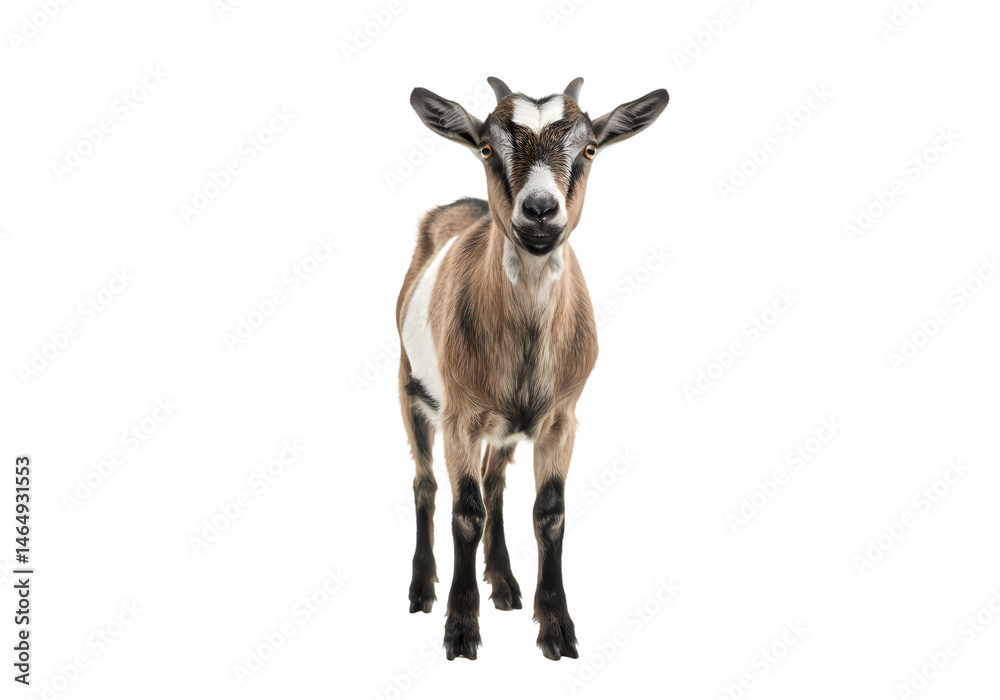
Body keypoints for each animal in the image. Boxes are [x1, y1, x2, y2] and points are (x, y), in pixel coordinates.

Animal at [397, 77, 669, 660]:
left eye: (589, 149)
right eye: (485, 147)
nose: (540, 209)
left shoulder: (561, 418)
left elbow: (549, 512)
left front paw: (557, 628)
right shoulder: (459, 416)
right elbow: (465, 511)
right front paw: (460, 629)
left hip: (503, 427)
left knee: (496, 482)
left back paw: (503, 584)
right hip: (410, 388)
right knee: (426, 484)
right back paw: (421, 589)